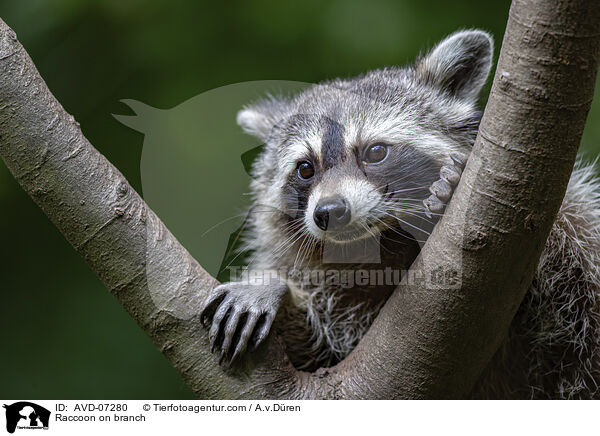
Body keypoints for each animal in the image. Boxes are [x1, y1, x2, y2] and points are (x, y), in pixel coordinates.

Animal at [200, 29, 600, 398]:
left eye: (376, 152)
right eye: (305, 169)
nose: (330, 211)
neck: (382, 244)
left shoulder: (574, 229)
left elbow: (576, 279)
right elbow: (315, 356)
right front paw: (271, 287)